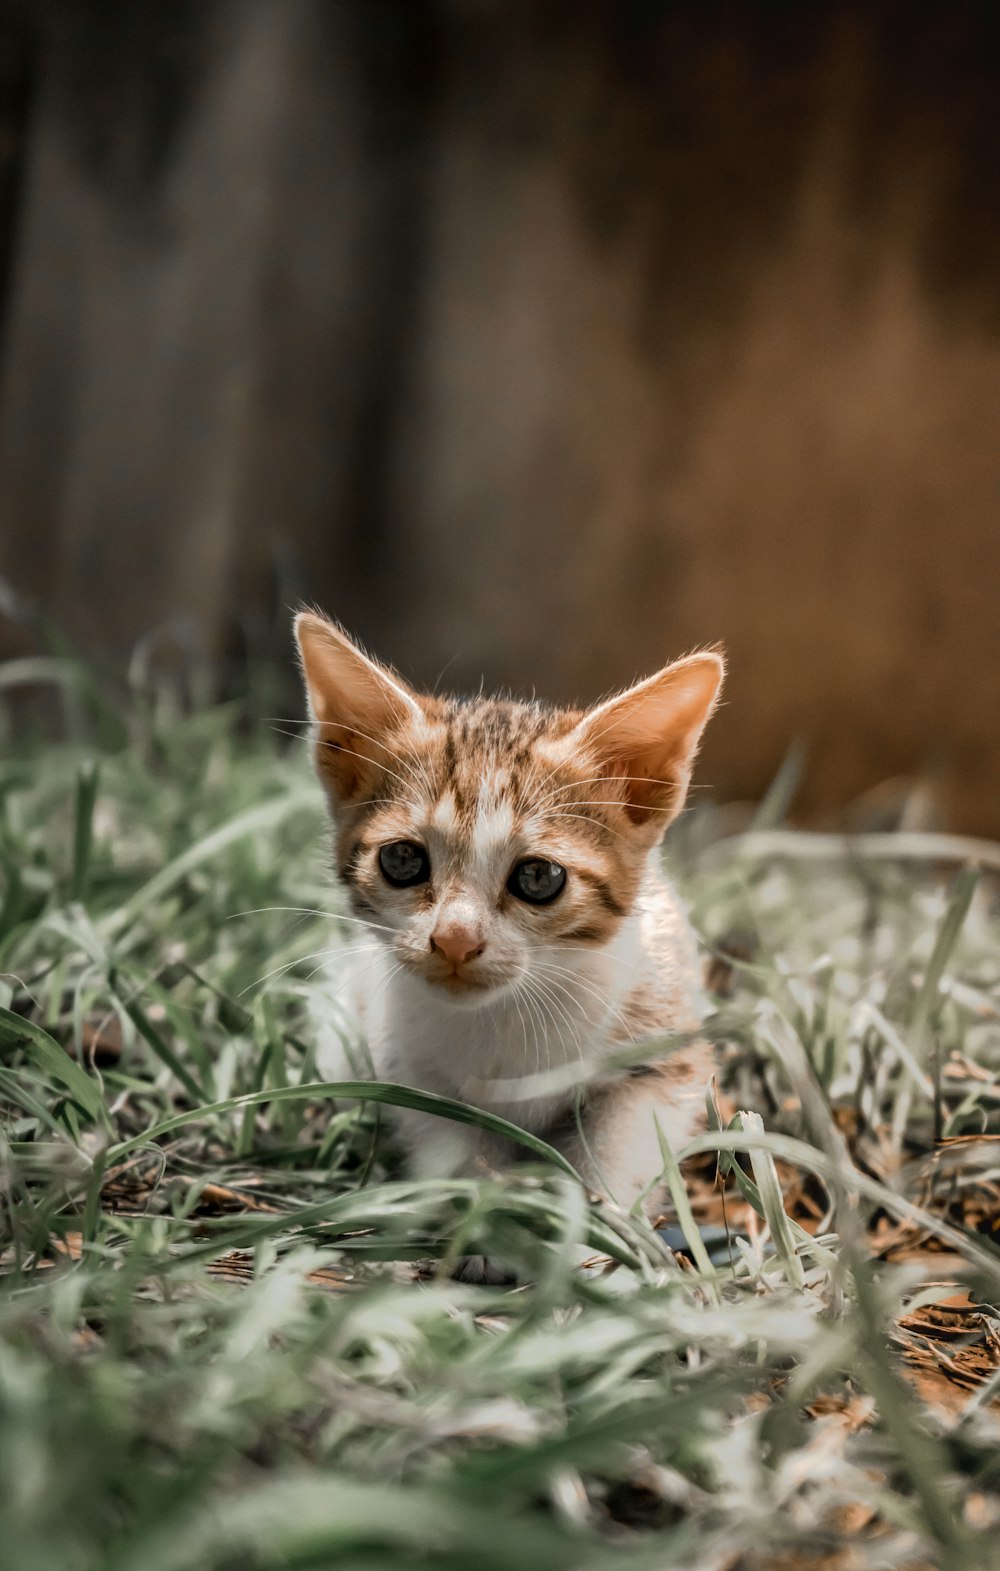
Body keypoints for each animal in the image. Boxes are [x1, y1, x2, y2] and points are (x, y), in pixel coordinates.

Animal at [291, 612, 722, 1225]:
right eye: (402, 860)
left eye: (538, 877)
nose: (454, 939)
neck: (507, 1019)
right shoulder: (408, 1068)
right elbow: (450, 1143)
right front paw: (487, 1220)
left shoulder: (669, 1052)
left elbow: (627, 1142)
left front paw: (602, 1227)